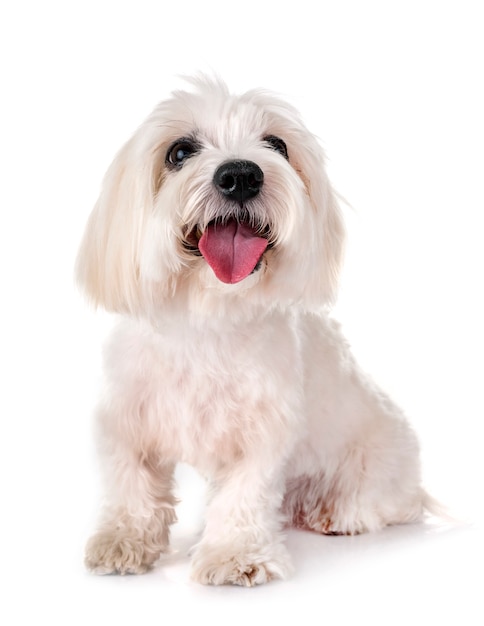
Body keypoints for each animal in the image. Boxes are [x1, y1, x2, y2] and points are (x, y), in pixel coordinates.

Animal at [78, 75, 432, 584]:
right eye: (179, 152)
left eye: (276, 144)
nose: (241, 175)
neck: (206, 319)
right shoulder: (128, 416)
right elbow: (131, 481)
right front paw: (122, 541)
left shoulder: (264, 433)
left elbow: (244, 493)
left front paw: (235, 555)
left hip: (375, 465)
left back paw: (335, 512)